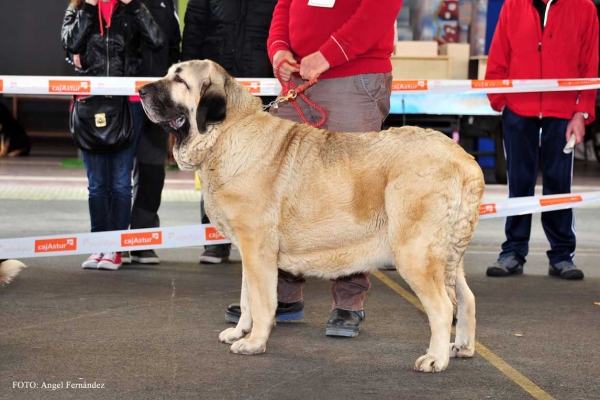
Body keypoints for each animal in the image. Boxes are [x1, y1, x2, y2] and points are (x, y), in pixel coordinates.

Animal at [138, 60, 486, 372]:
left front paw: (254, 343)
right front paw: (240, 332)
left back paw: (435, 359)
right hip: (447, 254)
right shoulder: (249, 251)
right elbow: (247, 296)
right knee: (467, 298)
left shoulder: (257, 248)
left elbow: (262, 301)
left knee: (443, 306)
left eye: (179, 80)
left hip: (415, 253)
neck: (225, 132)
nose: (140, 90)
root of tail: (465, 160)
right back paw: (462, 347)